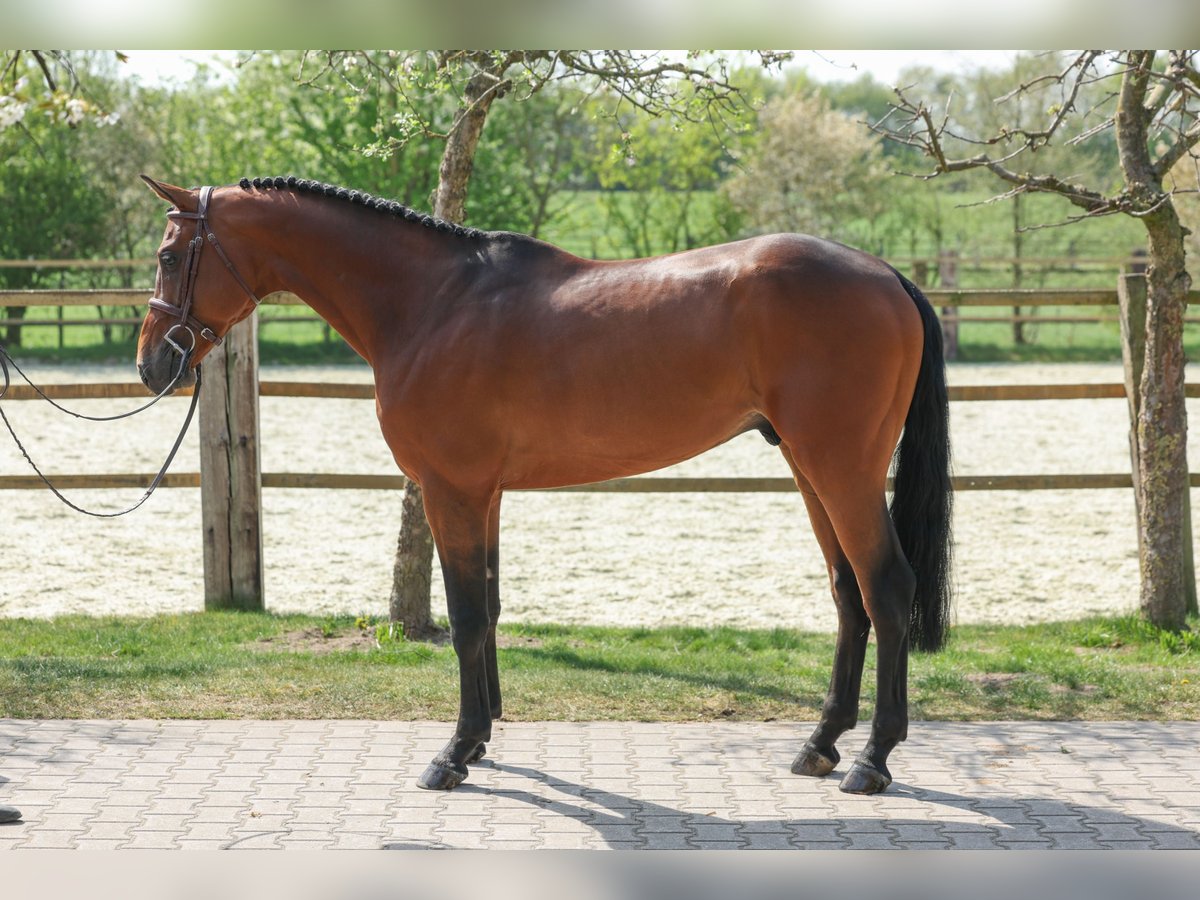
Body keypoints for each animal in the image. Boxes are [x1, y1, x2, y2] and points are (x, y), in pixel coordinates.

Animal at [136, 175, 952, 796]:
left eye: (170, 254)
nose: (152, 365)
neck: (432, 302)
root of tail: (885, 274)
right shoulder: (485, 493)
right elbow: (491, 608)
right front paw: (483, 739)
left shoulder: (452, 489)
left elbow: (466, 616)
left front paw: (454, 753)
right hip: (810, 469)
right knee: (848, 593)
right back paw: (821, 745)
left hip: (840, 467)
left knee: (887, 587)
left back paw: (874, 760)